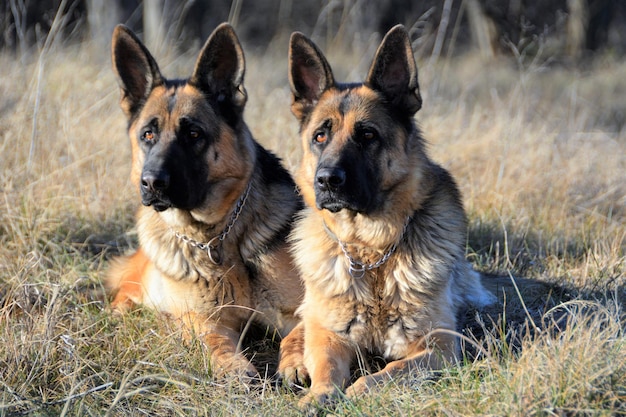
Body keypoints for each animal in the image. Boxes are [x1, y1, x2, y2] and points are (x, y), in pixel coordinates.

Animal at [107, 24, 302, 378]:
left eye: (193, 134)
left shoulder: (300, 311)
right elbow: (216, 343)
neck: (216, 238)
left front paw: (296, 362)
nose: (152, 183)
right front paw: (234, 367)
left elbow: (300, 335)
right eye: (148, 135)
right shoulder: (204, 320)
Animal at [280, 24, 494, 404]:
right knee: (300, 326)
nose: (327, 180)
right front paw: (319, 395)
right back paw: (293, 361)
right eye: (320, 136)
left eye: (367, 135)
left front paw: (356, 392)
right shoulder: (330, 335)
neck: (371, 253)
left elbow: (386, 373)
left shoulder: (438, 347)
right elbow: (327, 367)